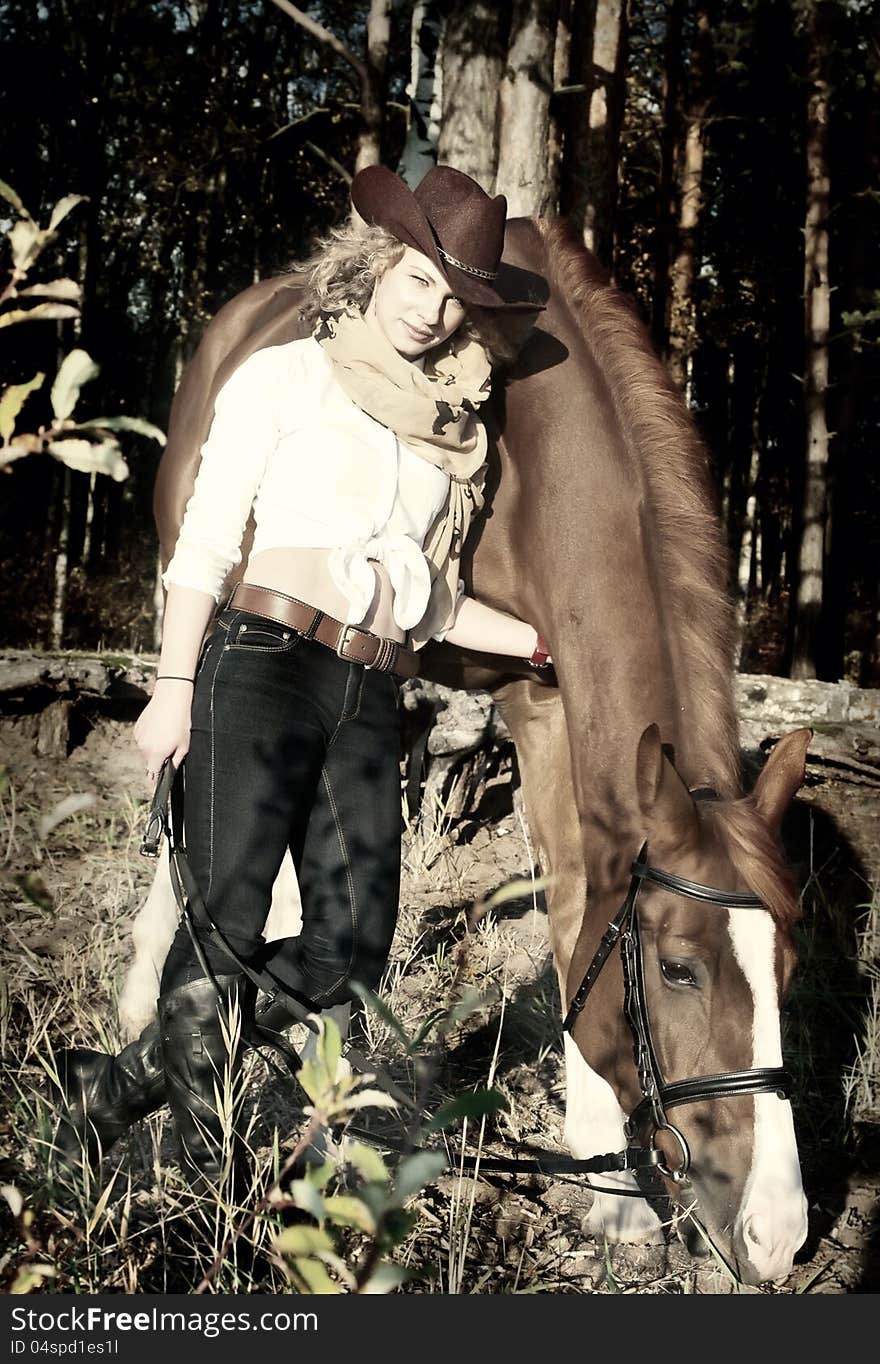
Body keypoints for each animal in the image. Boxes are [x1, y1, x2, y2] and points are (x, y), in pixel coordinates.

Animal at [145, 218, 807, 1282]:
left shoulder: (548, 696)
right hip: (193, 577)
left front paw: (615, 1195)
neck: (544, 467)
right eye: (679, 970)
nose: (777, 1233)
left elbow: (577, 904)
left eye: (787, 967)